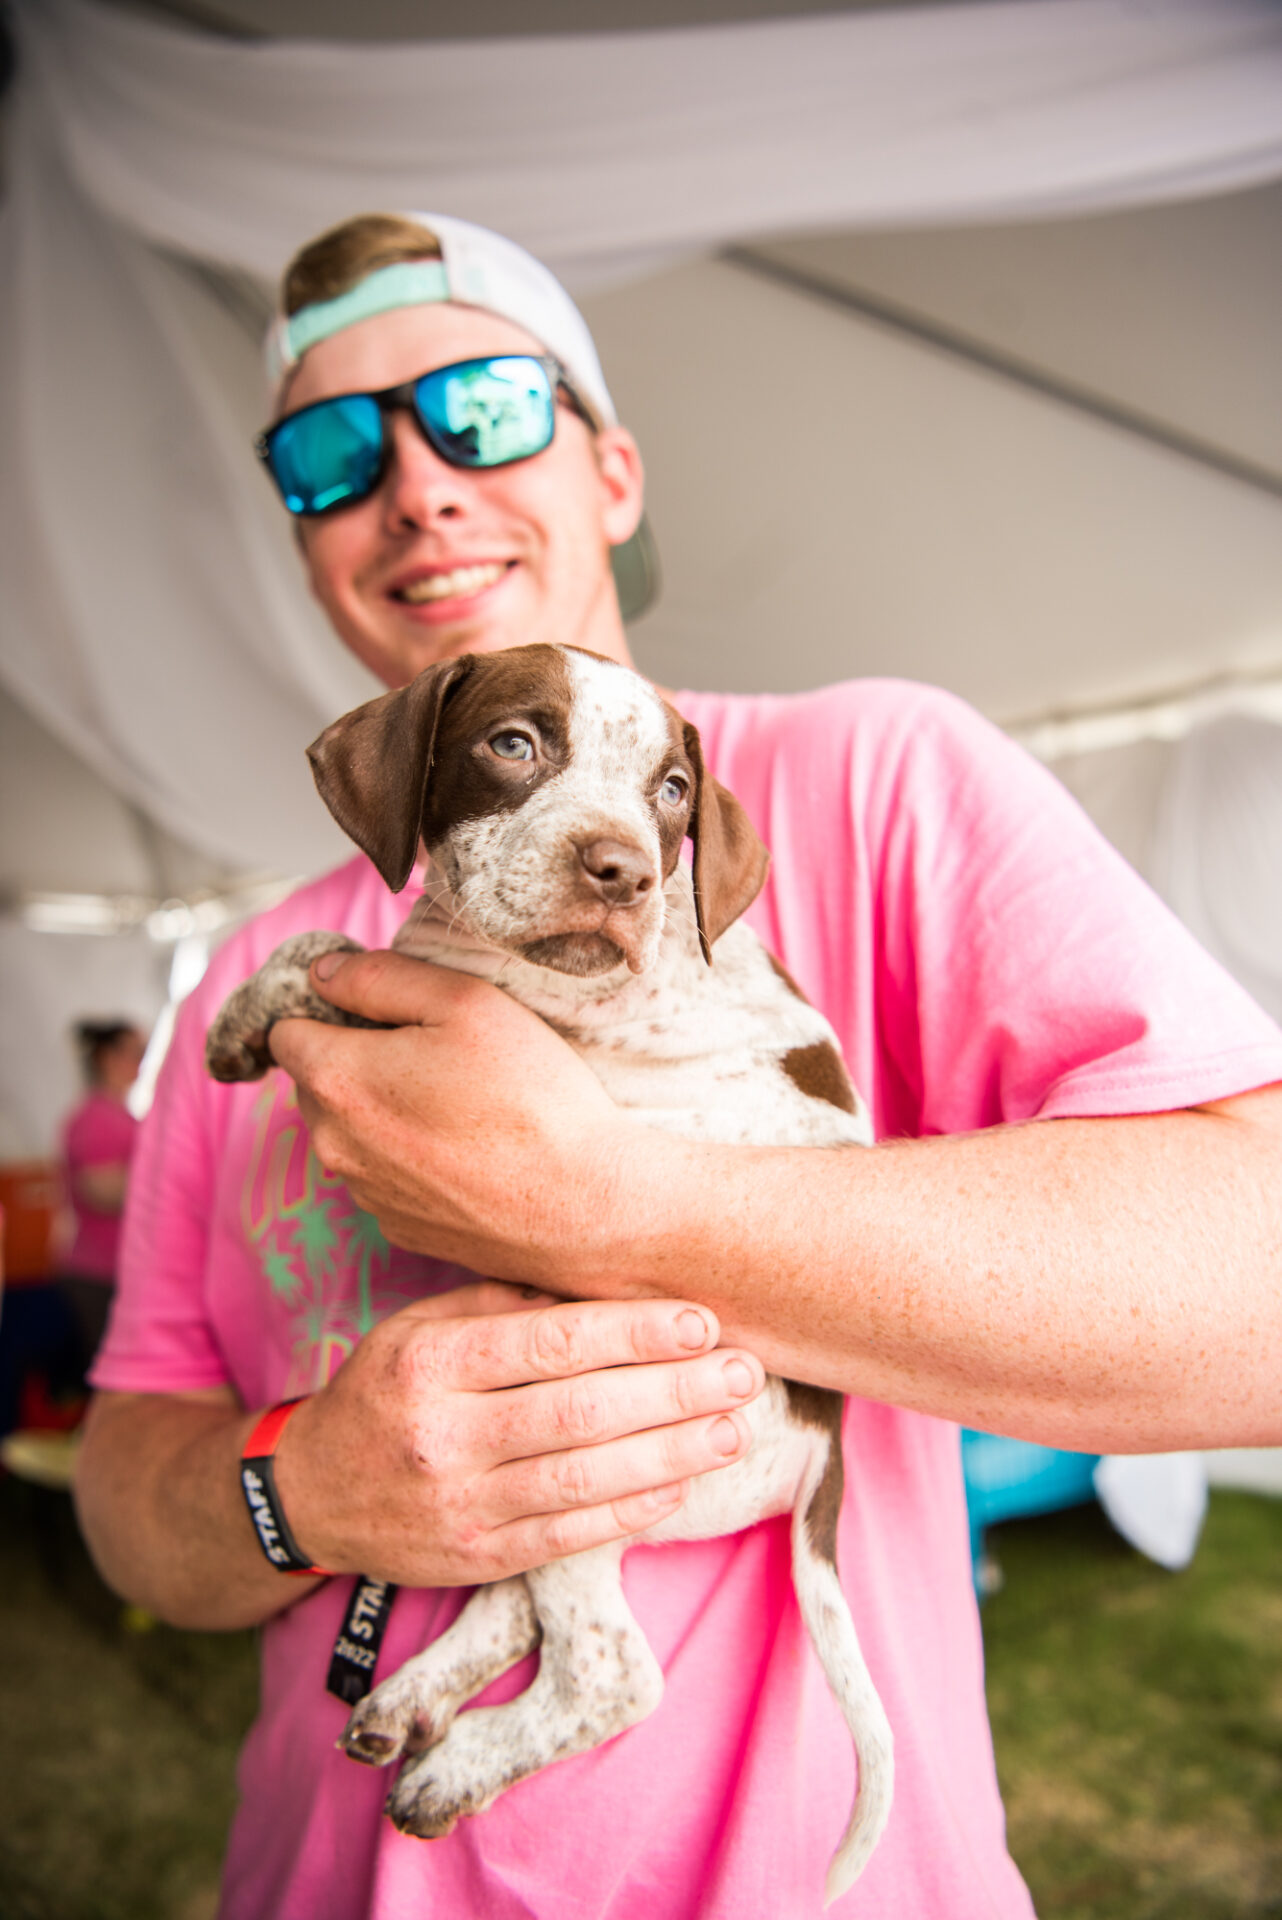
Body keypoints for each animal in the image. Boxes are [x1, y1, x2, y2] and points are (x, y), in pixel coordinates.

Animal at [206, 642, 893, 1903]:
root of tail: (824, 1435)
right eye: (513, 744)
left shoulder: (478, 1009)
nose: (624, 873)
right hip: (557, 1474)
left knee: (615, 1671)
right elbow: (334, 947)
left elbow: (347, 957)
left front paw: (254, 1009)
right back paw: (413, 1704)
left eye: (673, 789)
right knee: (517, 1599)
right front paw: (245, 1006)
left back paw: (455, 1766)